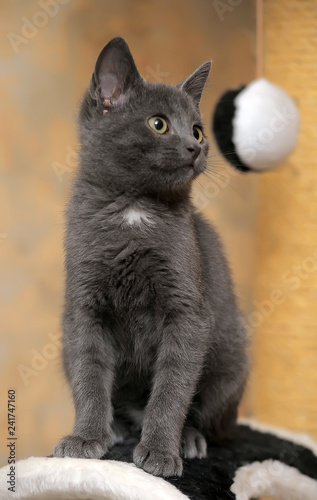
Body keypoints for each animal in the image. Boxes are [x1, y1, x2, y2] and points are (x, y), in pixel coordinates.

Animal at [53, 36, 247, 476]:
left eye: (197, 129)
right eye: (159, 124)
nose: (195, 147)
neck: (133, 208)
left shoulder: (188, 311)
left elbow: (173, 384)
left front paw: (160, 451)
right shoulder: (83, 309)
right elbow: (89, 374)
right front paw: (86, 438)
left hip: (229, 360)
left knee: (208, 415)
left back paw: (188, 439)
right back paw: (117, 430)